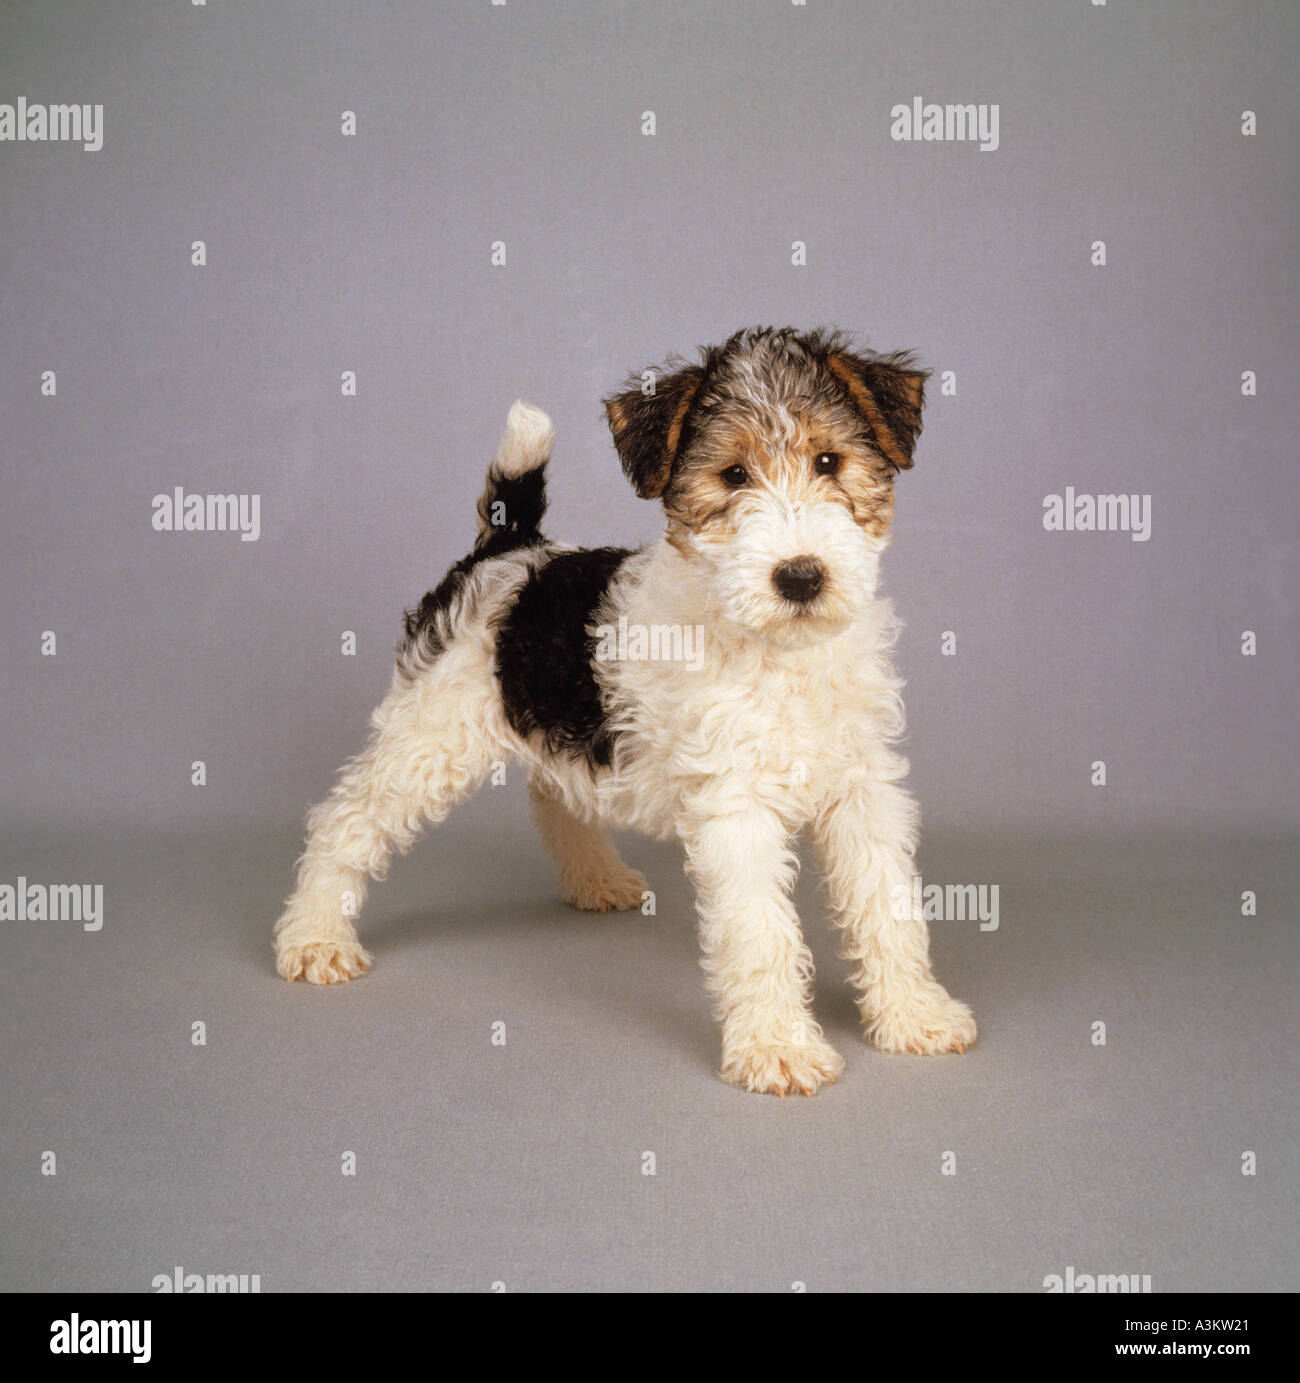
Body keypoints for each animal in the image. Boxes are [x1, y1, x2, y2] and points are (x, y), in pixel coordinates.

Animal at [271, 329, 973, 1095]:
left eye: (829, 461)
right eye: (733, 475)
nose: (800, 578)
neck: (781, 653)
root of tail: (510, 551)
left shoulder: (862, 786)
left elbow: (887, 903)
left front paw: (914, 1015)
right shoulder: (736, 803)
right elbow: (760, 930)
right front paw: (777, 1048)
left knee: (552, 791)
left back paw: (595, 879)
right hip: (430, 734)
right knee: (345, 819)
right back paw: (314, 937)